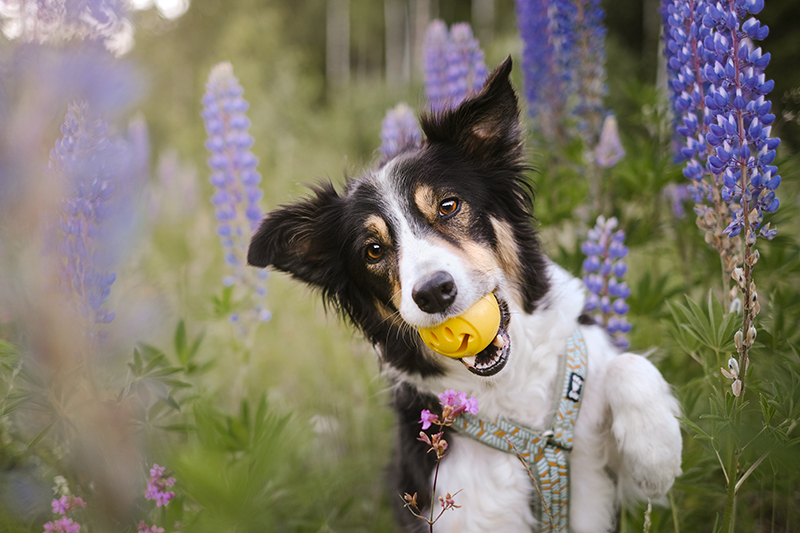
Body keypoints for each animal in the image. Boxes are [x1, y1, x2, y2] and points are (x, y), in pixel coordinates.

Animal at [248, 56, 680, 528]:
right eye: (373, 250)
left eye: (448, 206)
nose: (434, 292)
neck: (516, 412)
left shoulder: (596, 468)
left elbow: (627, 365)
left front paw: (655, 454)